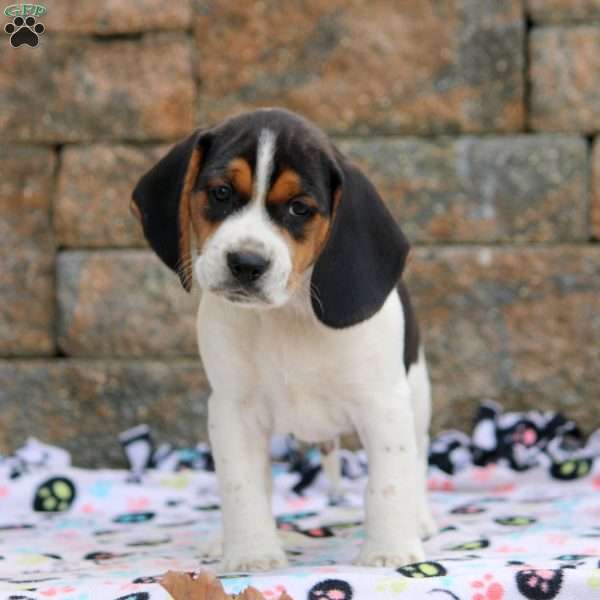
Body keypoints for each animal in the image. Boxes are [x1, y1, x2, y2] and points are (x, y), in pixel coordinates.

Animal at [131, 109, 434, 572]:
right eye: (221, 193)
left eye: (299, 208)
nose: (246, 263)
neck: (287, 314)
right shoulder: (233, 411)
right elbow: (242, 489)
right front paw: (251, 554)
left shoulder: (382, 405)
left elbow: (388, 484)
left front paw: (390, 552)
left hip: (417, 397)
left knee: (417, 460)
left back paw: (418, 520)